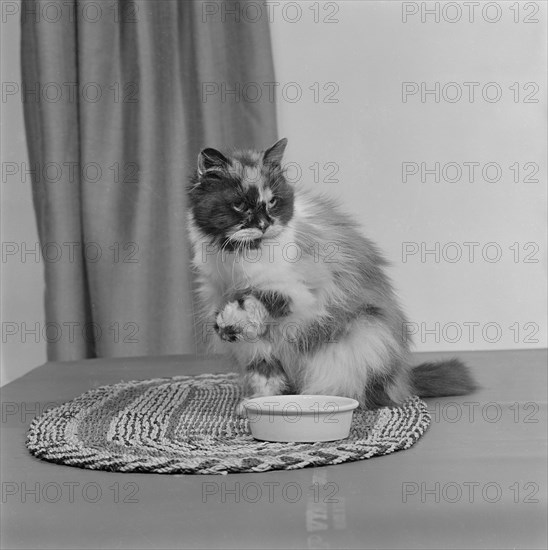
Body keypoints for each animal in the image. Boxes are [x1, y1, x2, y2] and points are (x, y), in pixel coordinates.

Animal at [185, 138, 476, 414]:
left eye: (273, 202)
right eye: (239, 205)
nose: (265, 225)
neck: (236, 259)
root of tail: (403, 381)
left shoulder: (298, 291)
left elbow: (257, 299)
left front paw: (229, 321)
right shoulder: (242, 326)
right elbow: (264, 375)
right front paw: (254, 402)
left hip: (360, 337)